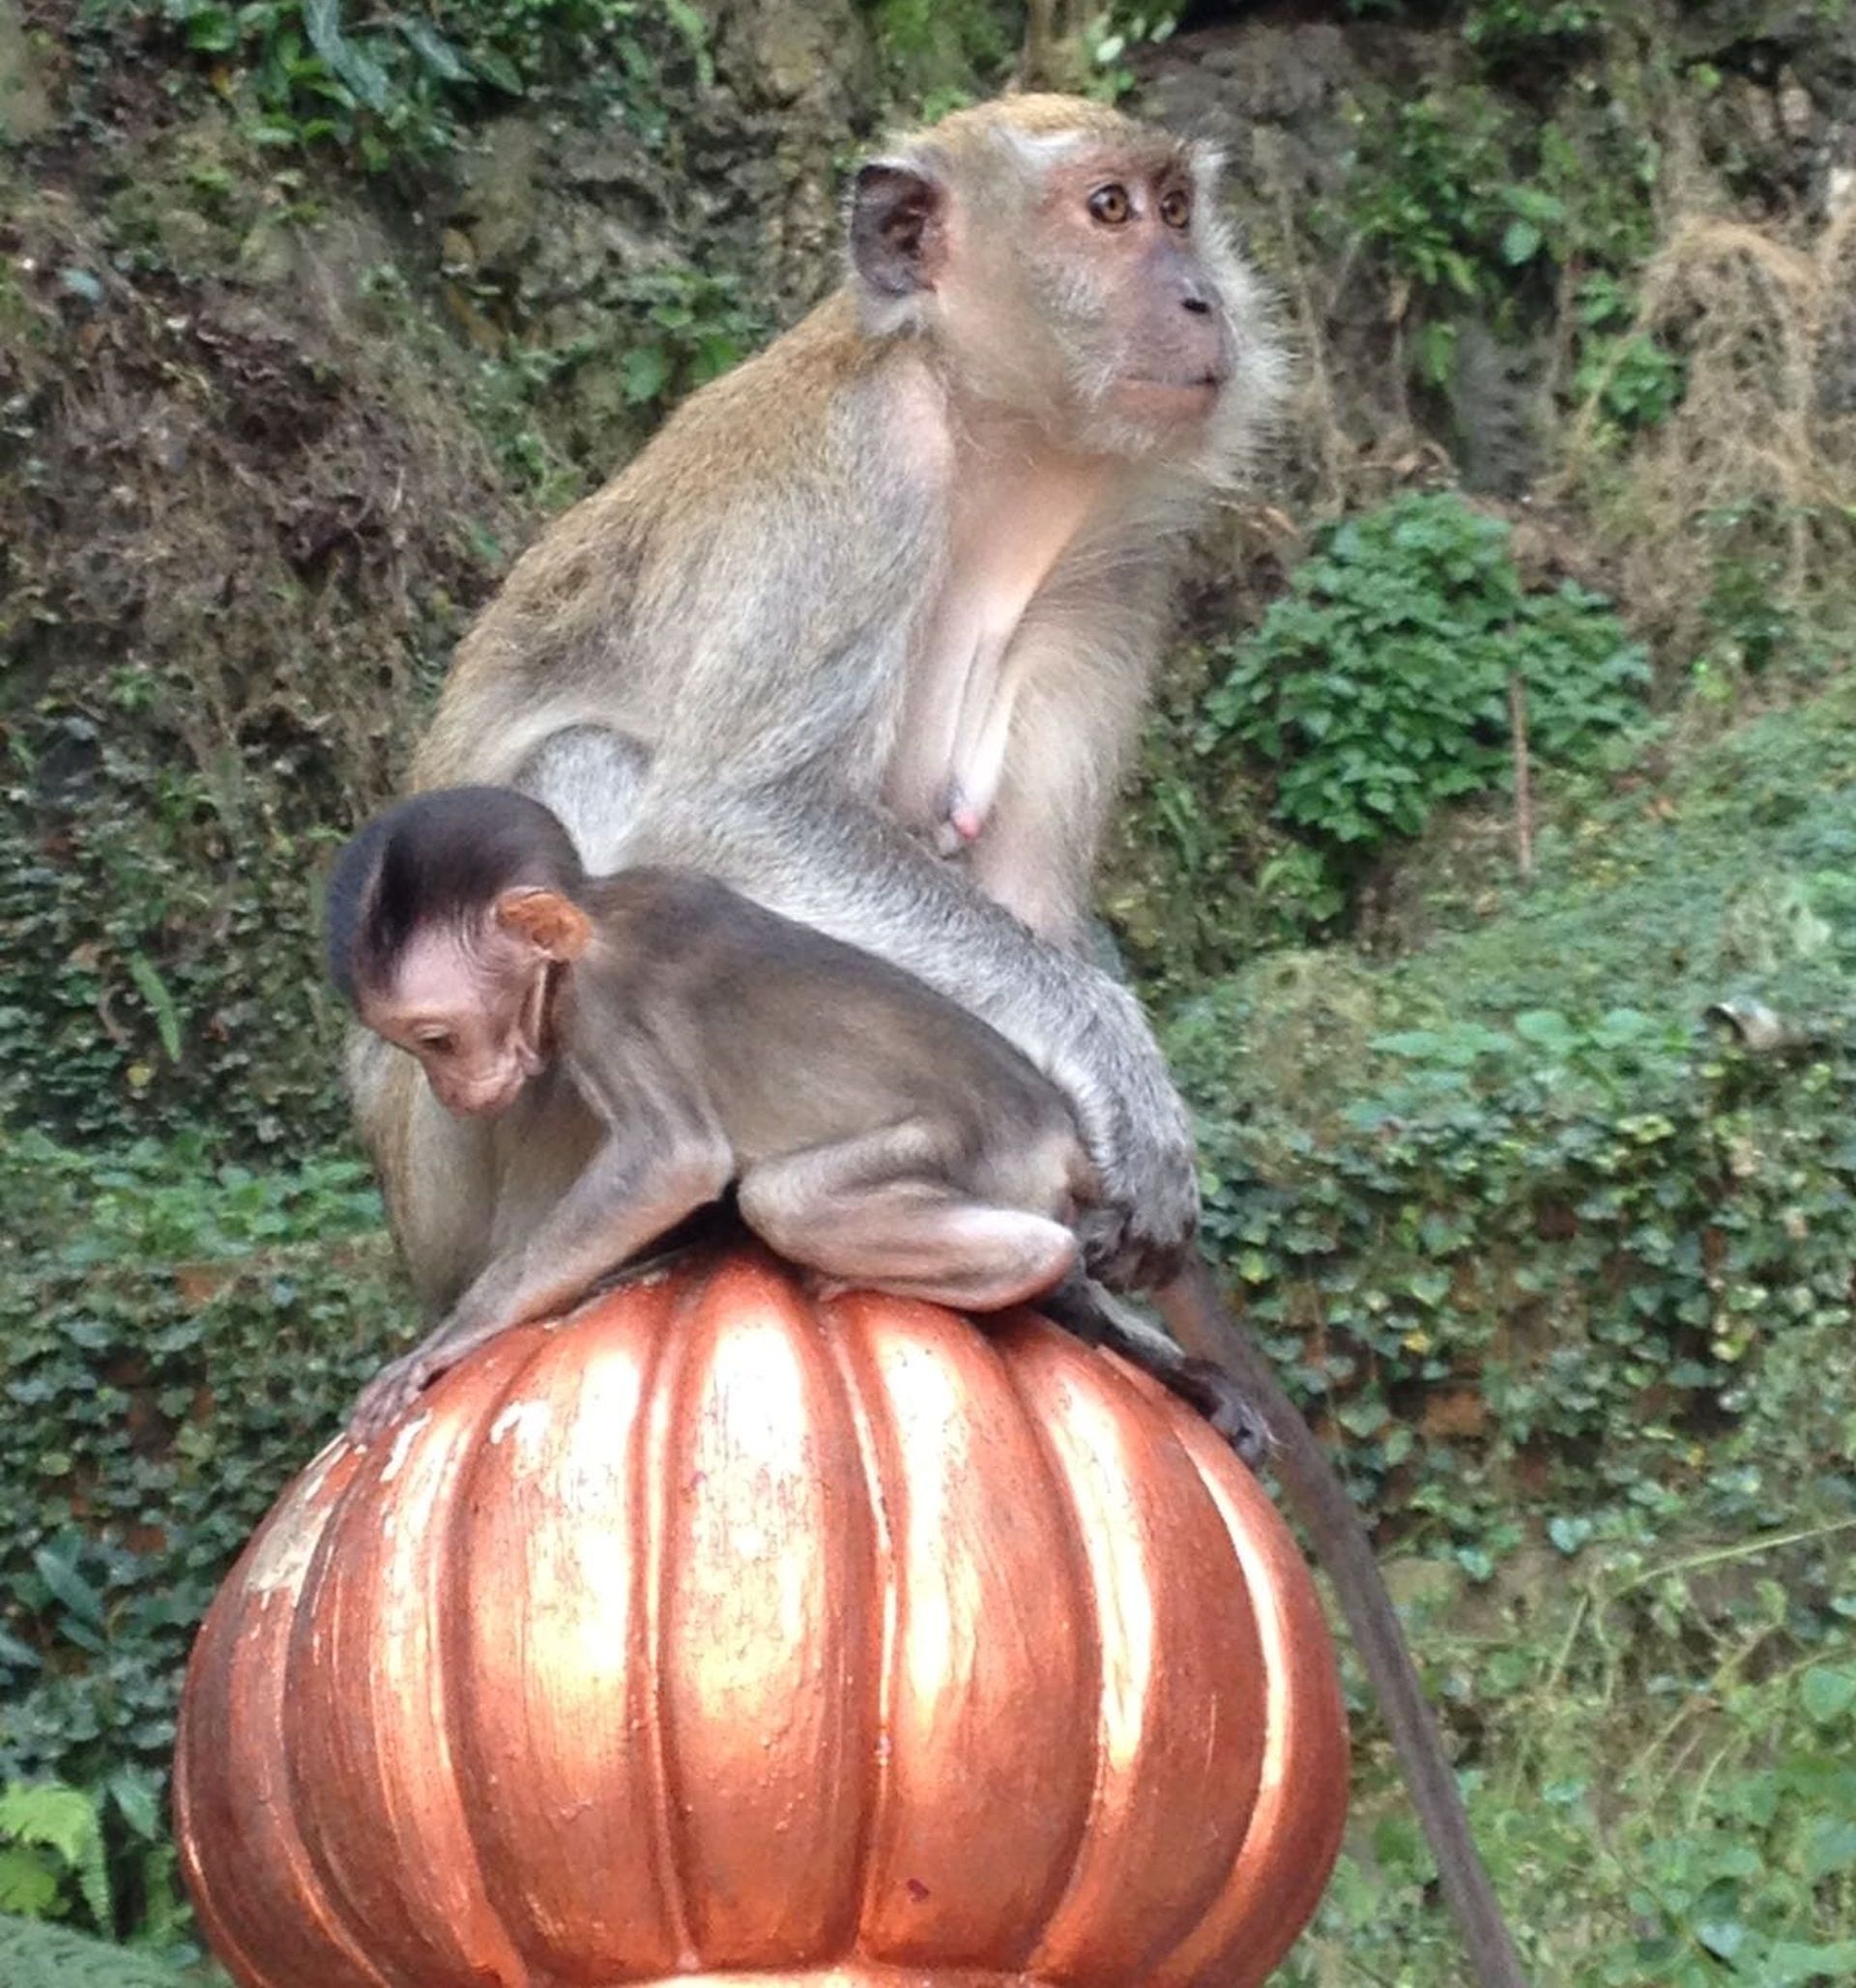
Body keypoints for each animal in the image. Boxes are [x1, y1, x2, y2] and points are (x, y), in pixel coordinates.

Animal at [330, 783, 1257, 1455]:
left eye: (436, 1038)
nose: (452, 1089)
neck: (594, 913)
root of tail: (1061, 1140)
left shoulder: (604, 1011)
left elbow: (676, 1159)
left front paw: (452, 1336)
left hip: (977, 1156)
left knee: (788, 1199)